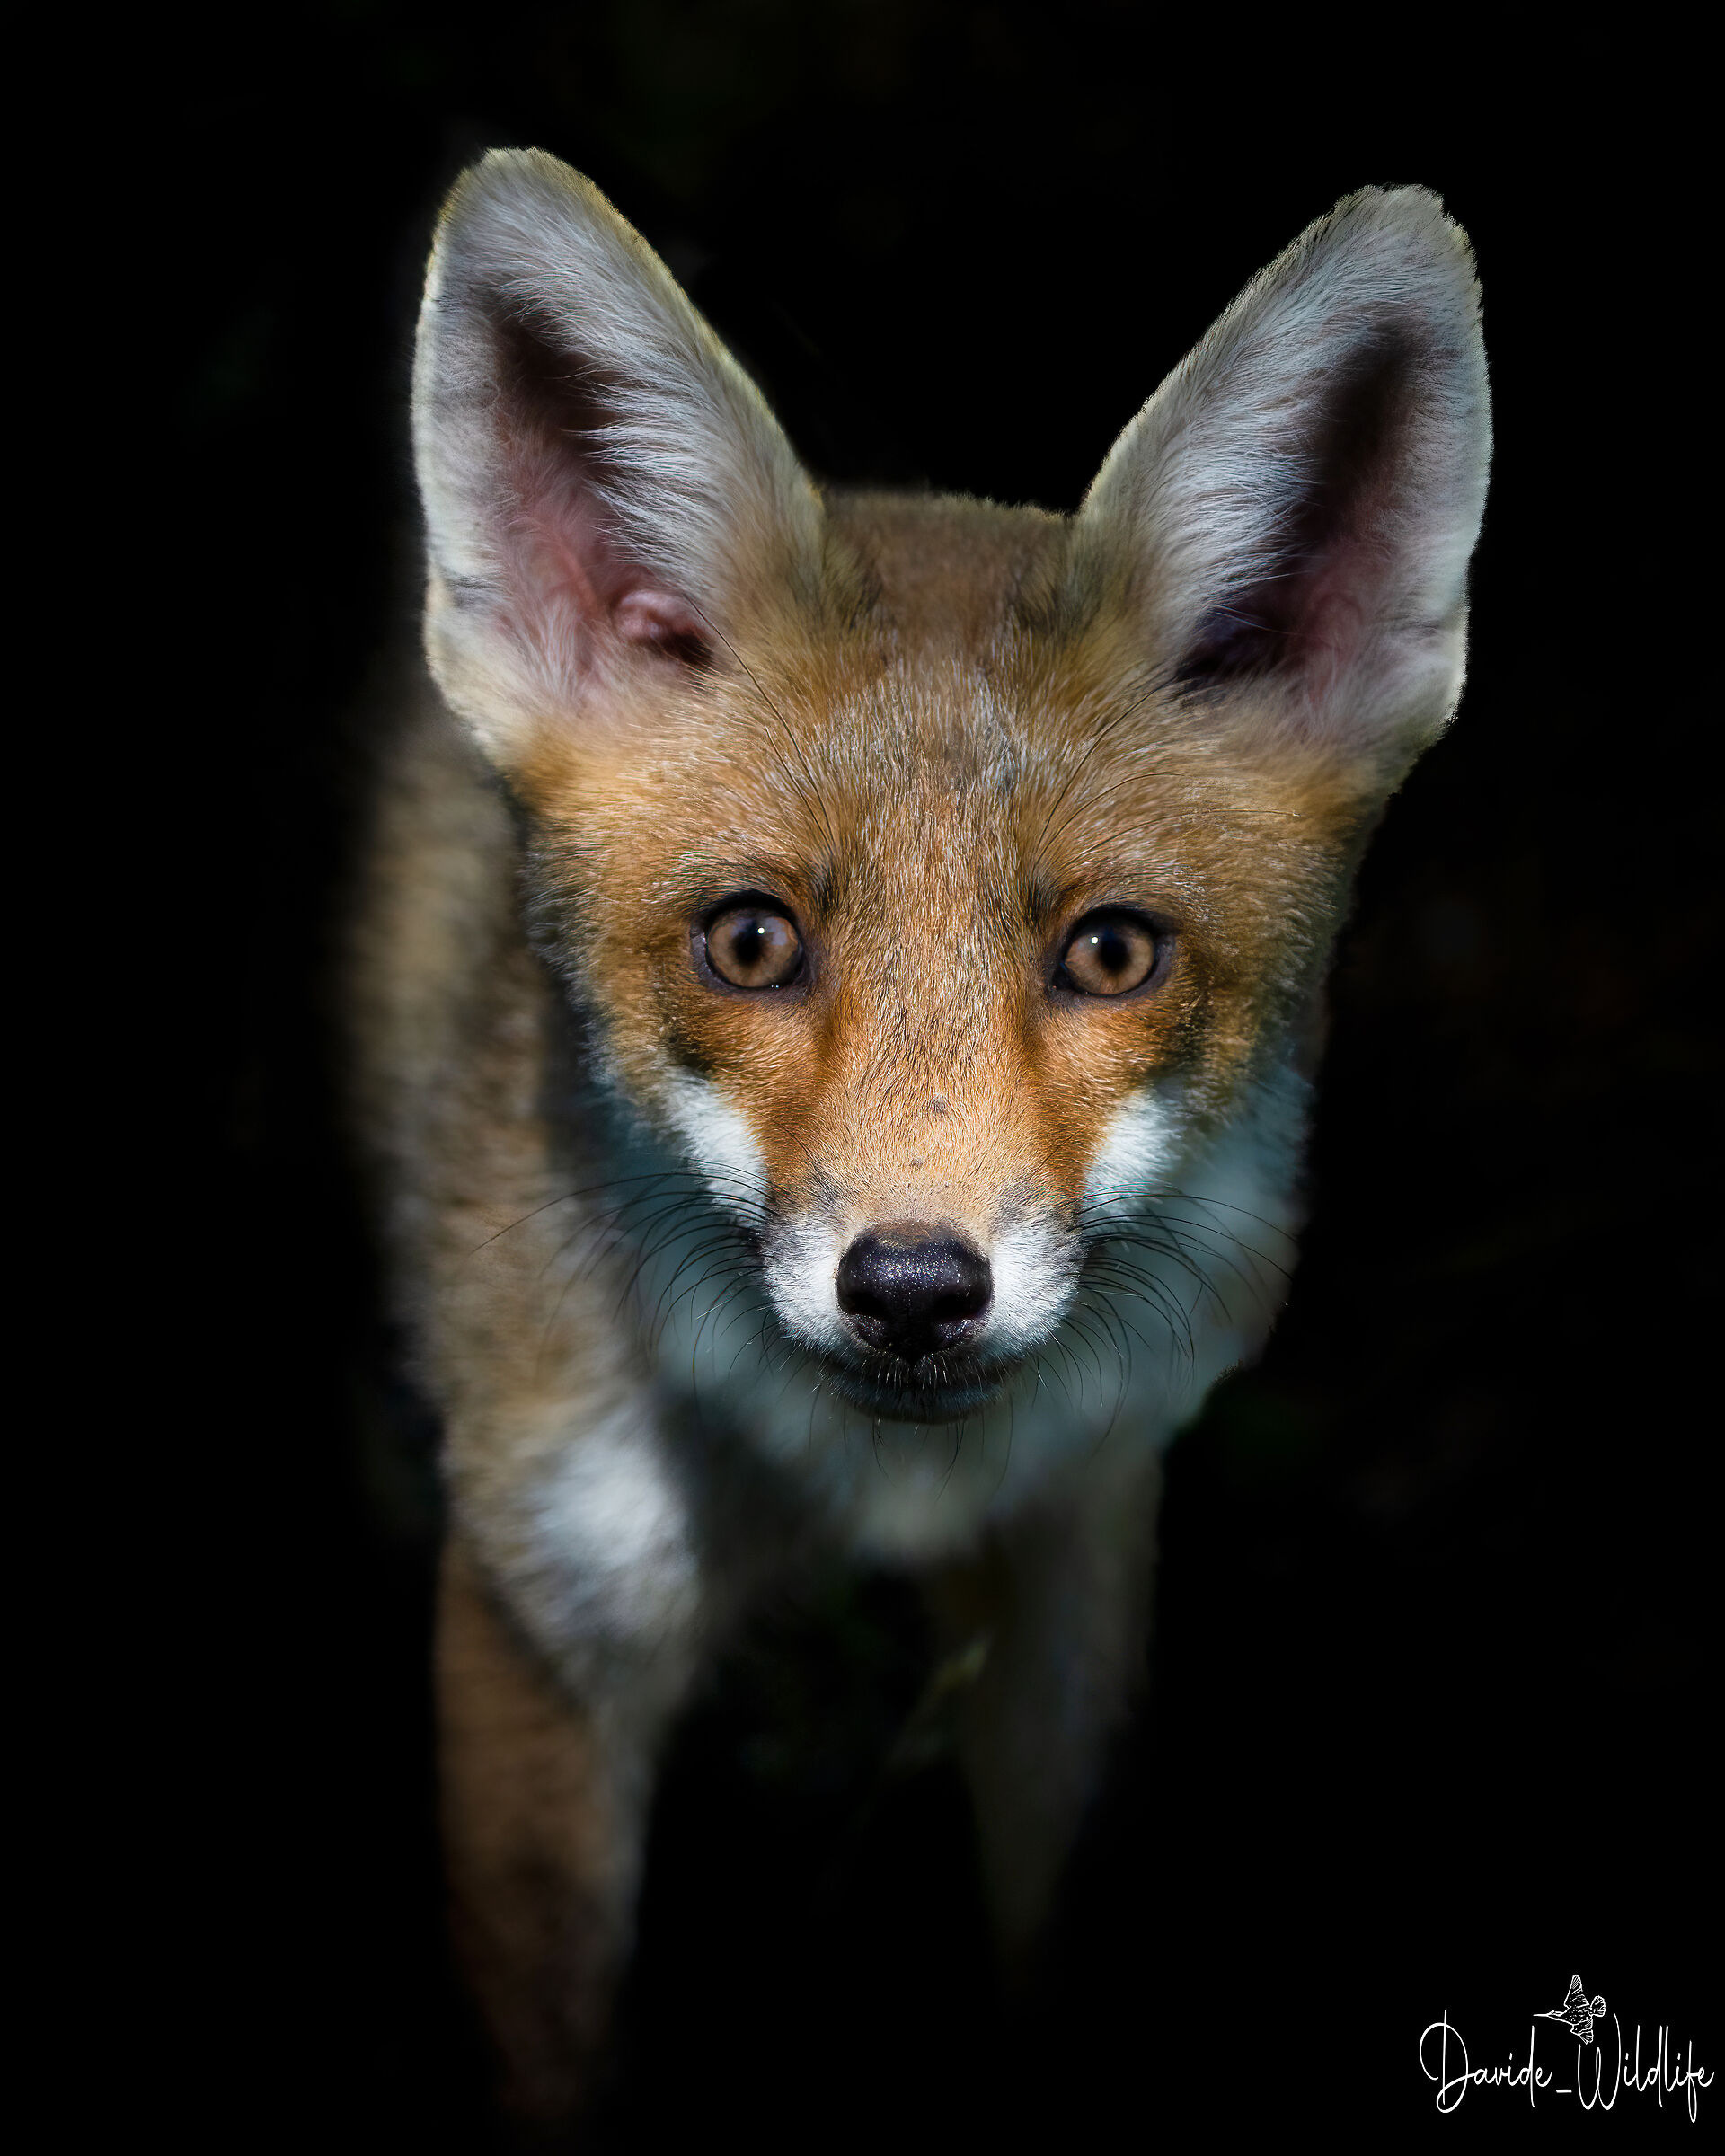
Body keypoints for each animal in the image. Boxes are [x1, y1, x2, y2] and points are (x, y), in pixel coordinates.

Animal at [352, 148, 1490, 2128]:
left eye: (1110, 953)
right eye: (751, 943)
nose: (909, 1289)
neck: (864, 1493)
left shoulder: (1078, 1556)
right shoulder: (541, 1615)